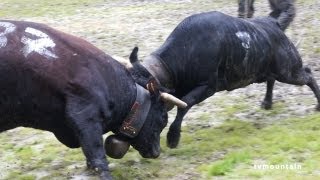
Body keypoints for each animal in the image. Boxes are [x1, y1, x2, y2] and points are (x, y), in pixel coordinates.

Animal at [129, 11, 320, 149]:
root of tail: (274, 24)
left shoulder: (208, 87)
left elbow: (184, 104)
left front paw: (173, 137)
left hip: (288, 71)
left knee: (309, 74)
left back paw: (317, 105)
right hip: (271, 71)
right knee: (272, 80)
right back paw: (267, 103)